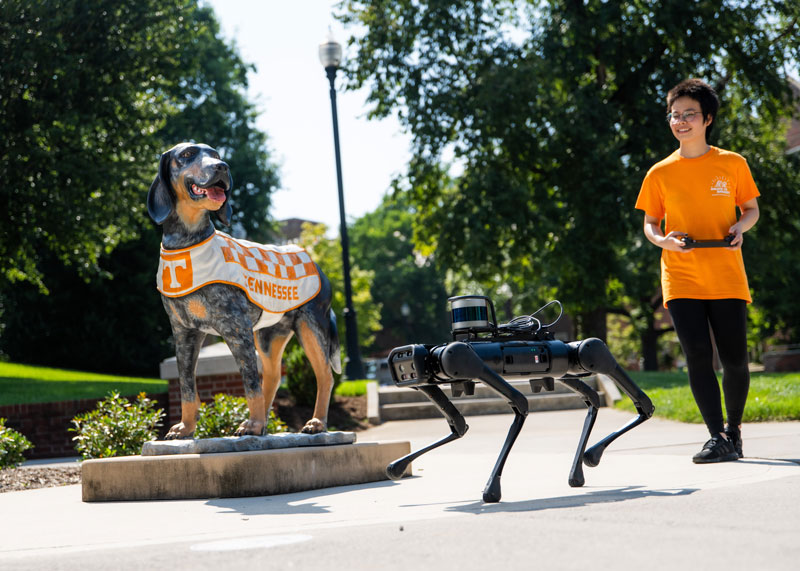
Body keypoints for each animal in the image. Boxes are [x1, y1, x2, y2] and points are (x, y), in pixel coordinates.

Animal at [384, 298, 652, 502]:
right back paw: (580, 468)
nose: (405, 365)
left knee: (636, 396)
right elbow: (459, 425)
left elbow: (521, 404)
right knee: (593, 398)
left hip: (585, 355)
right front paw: (396, 466)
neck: (433, 357)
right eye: (404, 366)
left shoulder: (460, 357)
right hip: (568, 369)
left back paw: (592, 455)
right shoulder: (436, 378)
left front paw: (491, 489)